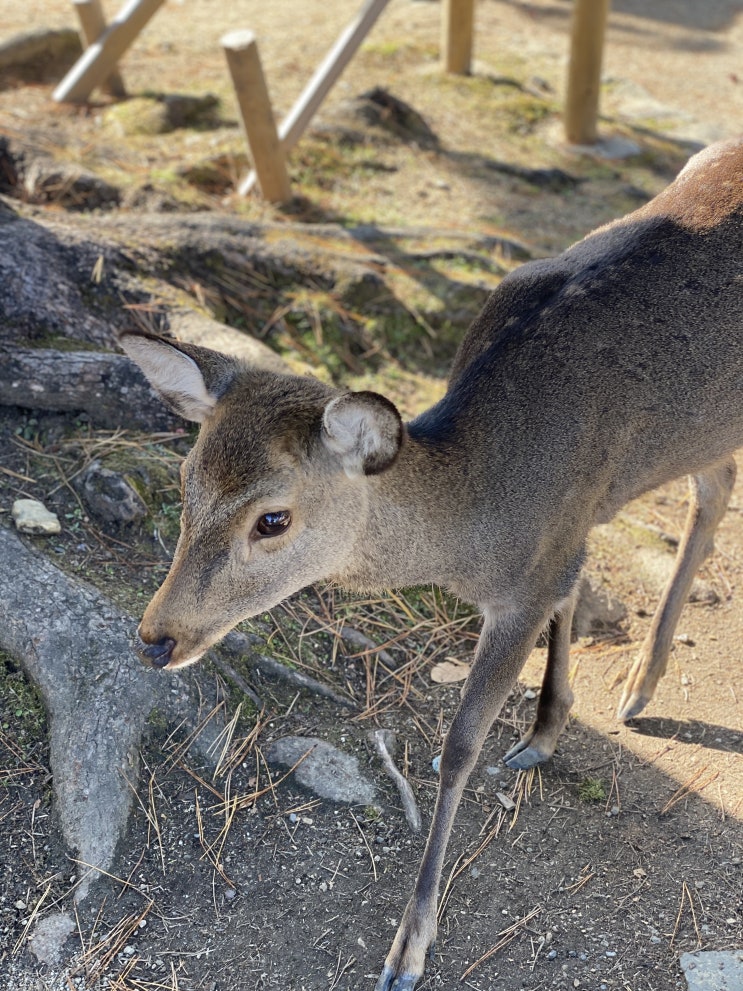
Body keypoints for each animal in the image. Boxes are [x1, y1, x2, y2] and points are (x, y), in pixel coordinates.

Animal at [120, 138, 743, 991]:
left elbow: (458, 746)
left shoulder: (529, 576)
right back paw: (638, 683)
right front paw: (547, 727)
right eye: (185, 480)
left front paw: (407, 948)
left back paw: (642, 685)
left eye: (272, 518)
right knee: (713, 489)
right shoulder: (564, 537)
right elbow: (568, 595)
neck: (479, 520)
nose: (156, 637)